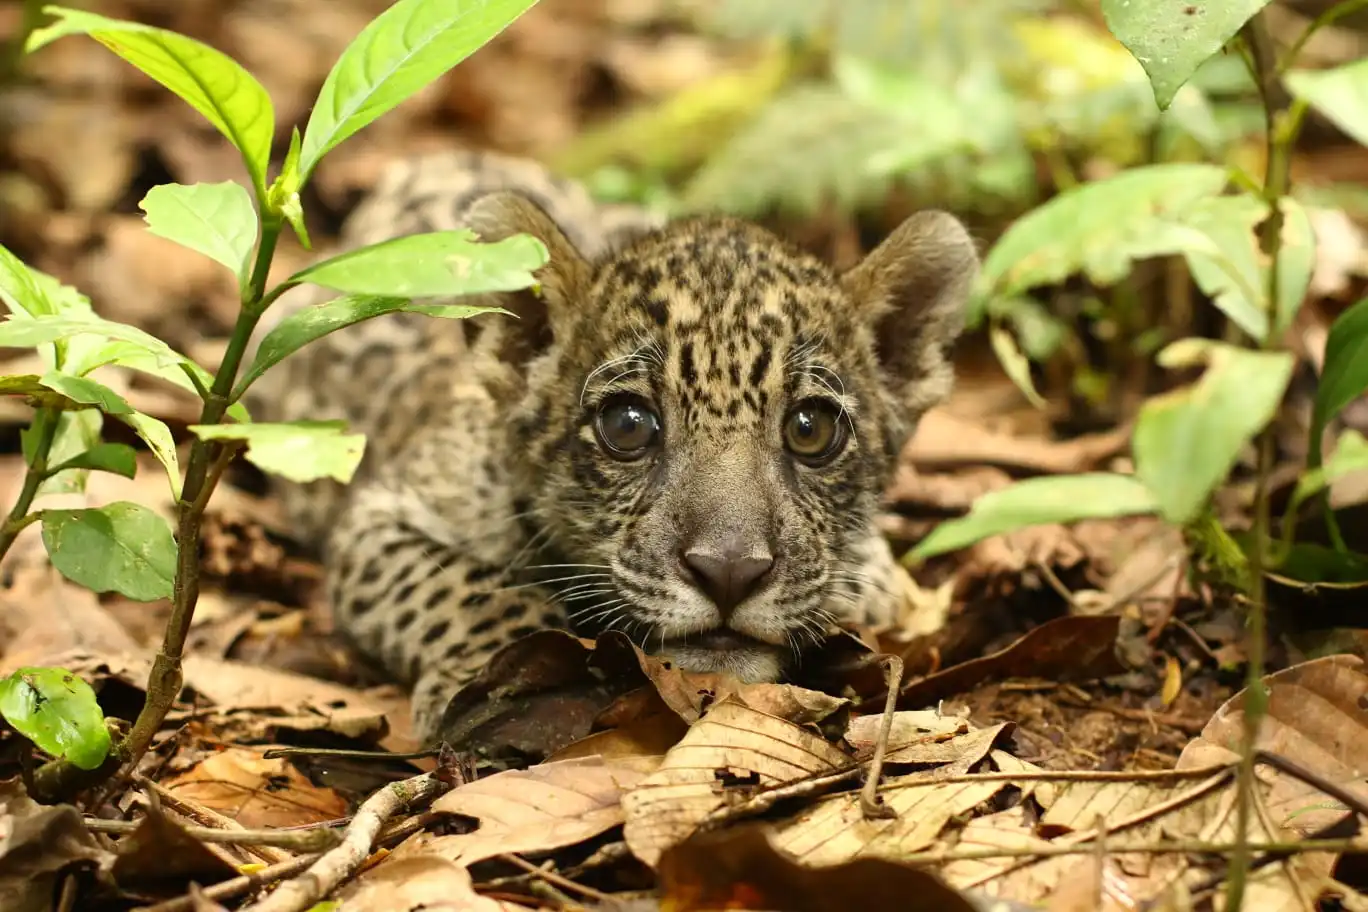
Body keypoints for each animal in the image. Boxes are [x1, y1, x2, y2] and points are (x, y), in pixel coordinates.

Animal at [245, 148, 979, 745]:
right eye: (628, 425)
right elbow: (463, 585)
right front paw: (489, 674)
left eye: (811, 429)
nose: (729, 572)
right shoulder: (380, 518)